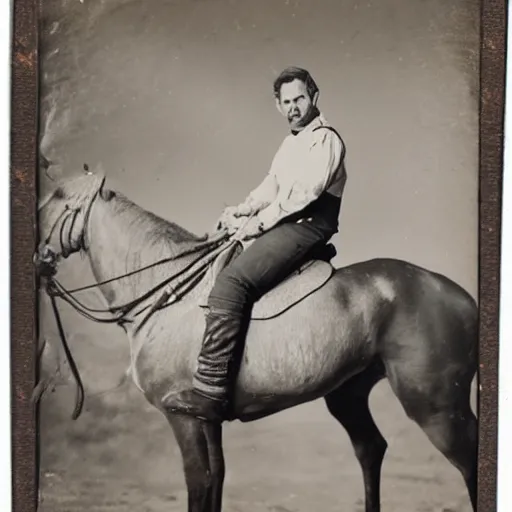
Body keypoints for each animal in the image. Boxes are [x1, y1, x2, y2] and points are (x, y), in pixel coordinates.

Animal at [37, 173, 480, 512]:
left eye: (58, 197)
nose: (37, 255)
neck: (167, 292)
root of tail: (461, 296)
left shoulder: (183, 416)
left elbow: (199, 484)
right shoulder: (208, 420)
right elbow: (215, 481)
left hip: (437, 407)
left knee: (468, 461)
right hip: (348, 395)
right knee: (371, 449)